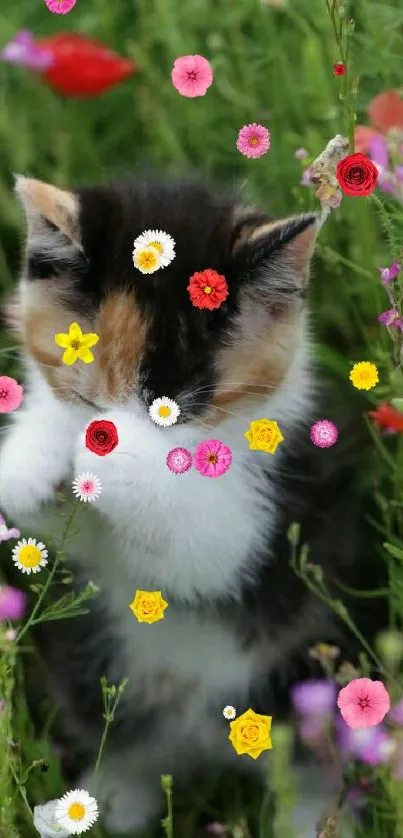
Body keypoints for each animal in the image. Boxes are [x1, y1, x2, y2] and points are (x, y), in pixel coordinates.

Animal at [0, 174, 376, 836]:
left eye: (172, 407)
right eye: (86, 389)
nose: (100, 425)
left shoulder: (268, 501)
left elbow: (206, 545)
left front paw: (104, 452)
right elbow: (36, 508)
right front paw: (39, 451)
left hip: (311, 668)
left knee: (312, 756)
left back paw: (309, 818)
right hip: (92, 668)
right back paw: (103, 804)